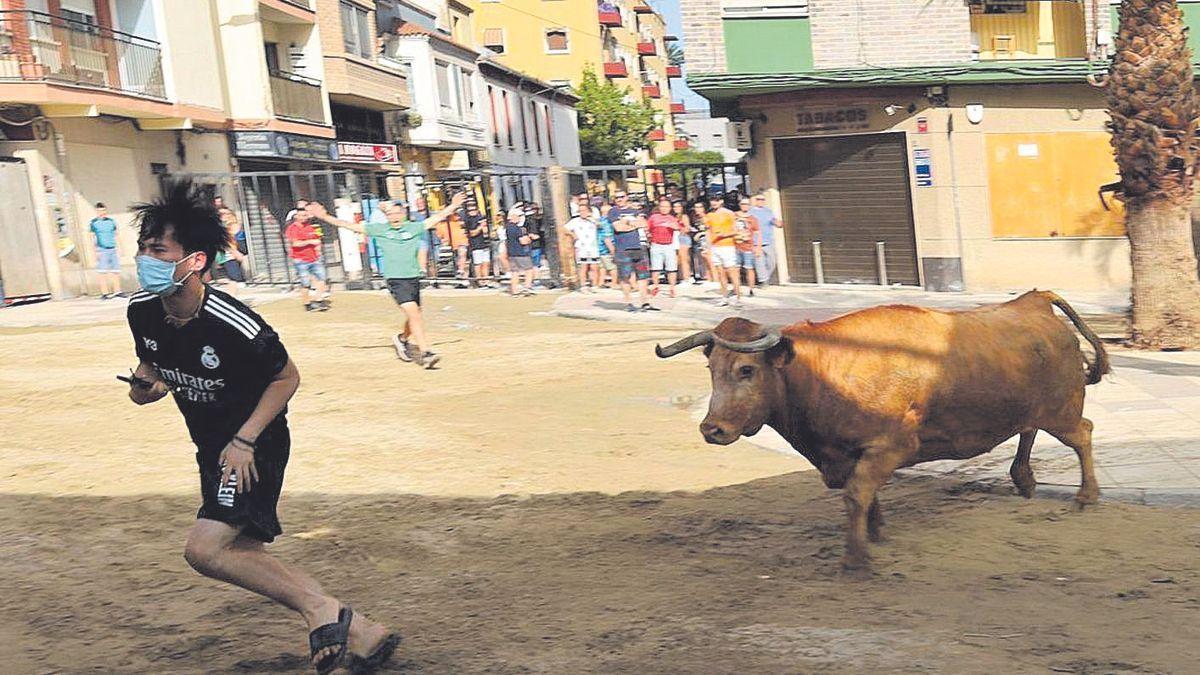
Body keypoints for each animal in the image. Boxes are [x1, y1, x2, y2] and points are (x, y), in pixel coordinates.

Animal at [662, 289, 1108, 566]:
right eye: (711, 369)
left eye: (746, 369)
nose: (712, 429)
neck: (823, 371)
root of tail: (1035, 302)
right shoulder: (849, 455)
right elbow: (864, 492)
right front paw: (874, 531)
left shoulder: (892, 446)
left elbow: (857, 492)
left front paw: (856, 556)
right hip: (1031, 408)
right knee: (1029, 430)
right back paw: (1024, 479)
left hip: (1061, 410)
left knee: (1083, 433)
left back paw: (1085, 496)